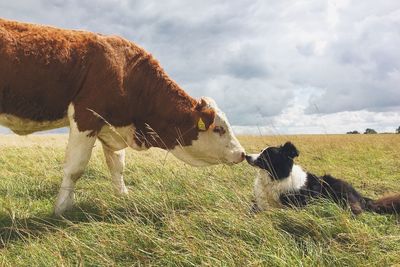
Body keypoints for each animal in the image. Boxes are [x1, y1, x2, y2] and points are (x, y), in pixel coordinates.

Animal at [0, 18, 245, 216]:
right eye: (219, 129)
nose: (242, 153)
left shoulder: (112, 127)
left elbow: (117, 165)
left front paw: (123, 195)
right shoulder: (86, 116)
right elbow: (75, 168)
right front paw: (62, 208)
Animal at [245, 142, 398, 216]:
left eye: (266, 155)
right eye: (260, 151)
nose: (246, 156)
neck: (276, 177)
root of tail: (361, 197)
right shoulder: (260, 204)